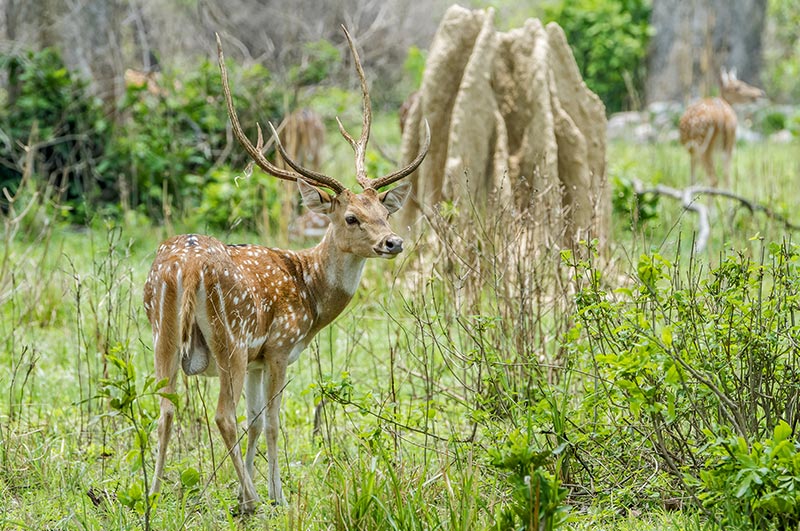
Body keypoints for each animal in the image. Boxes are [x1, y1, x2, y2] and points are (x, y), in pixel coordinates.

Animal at [144, 27, 432, 512]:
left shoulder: (259, 361)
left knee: (166, 404)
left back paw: (152, 491)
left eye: (383, 211)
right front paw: (275, 495)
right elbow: (273, 423)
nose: (393, 242)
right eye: (350, 217)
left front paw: (251, 488)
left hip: (162, 331)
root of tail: (187, 266)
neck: (310, 292)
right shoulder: (278, 347)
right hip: (230, 338)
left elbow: (257, 422)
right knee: (222, 415)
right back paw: (252, 499)